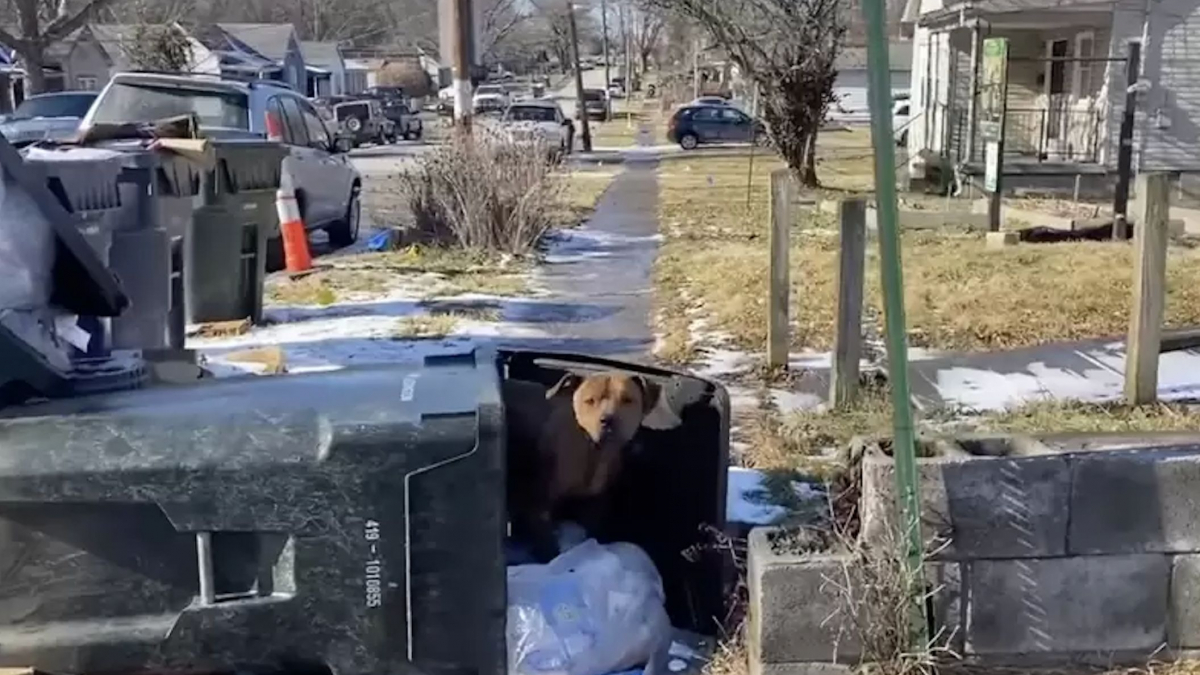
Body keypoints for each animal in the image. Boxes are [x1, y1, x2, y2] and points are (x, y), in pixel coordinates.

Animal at [501, 369, 662, 559]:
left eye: (627, 399)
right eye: (590, 400)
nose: (608, 420)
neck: (592, 451)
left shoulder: (595, 501)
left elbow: (591, 527)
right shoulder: (541, 501)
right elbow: (544, 532)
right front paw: (549, 554)